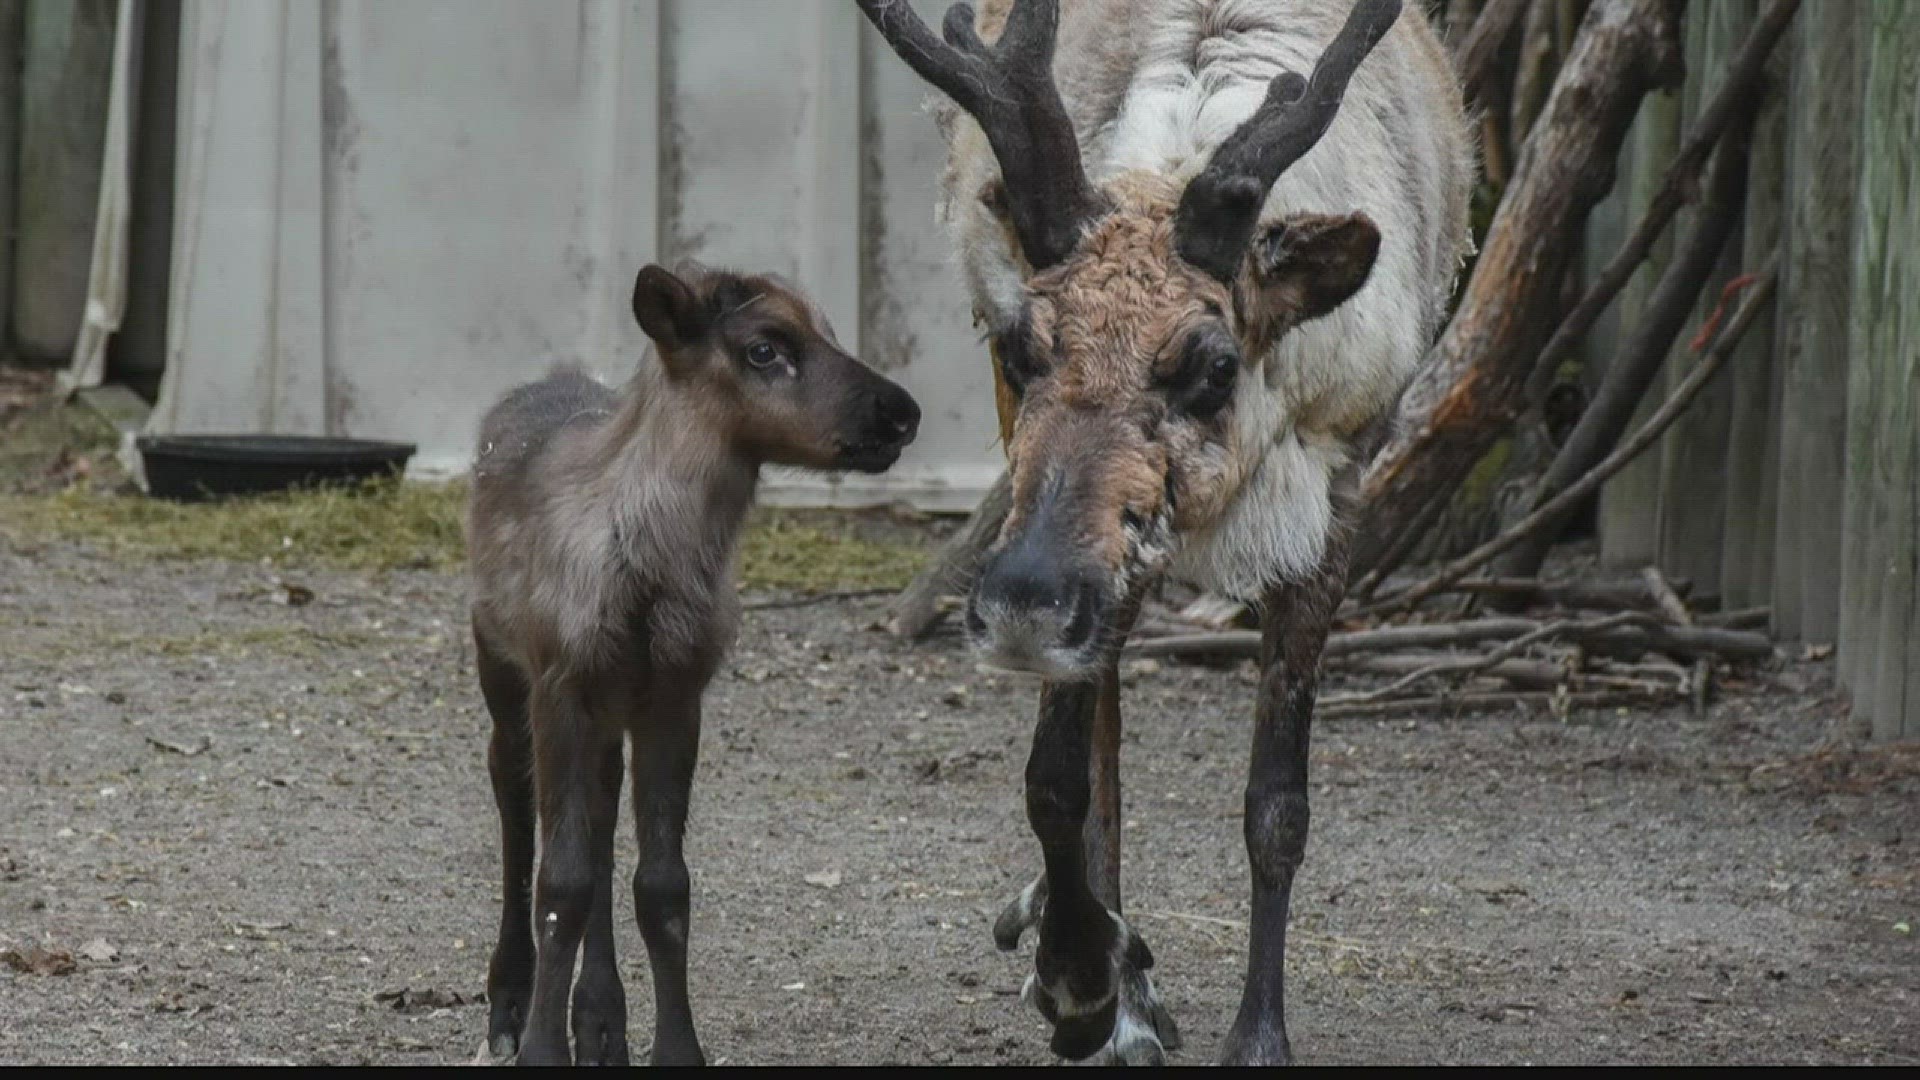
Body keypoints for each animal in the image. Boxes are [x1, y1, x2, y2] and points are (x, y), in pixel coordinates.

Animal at [460, 263, 917, 1060]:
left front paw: (673, 1047)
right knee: (515, 809)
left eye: (830, 331)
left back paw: (600, 1019)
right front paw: (545, 1047)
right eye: (765, 348)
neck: (651, 573)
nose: (901, 414)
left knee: (602, 823)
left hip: (611, 711)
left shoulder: (675, 694)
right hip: (501, 665)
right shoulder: (560, 682)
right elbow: (560, 885)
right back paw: (510, 1007)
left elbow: (662, 885)